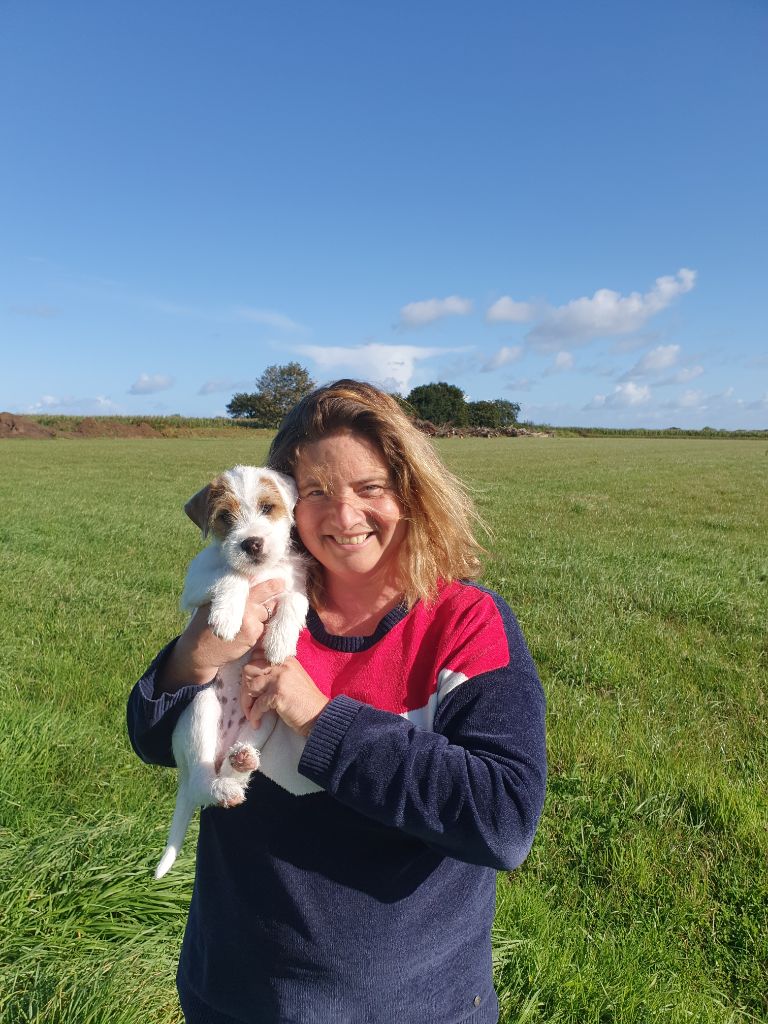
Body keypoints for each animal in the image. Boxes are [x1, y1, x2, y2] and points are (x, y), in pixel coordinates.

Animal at [154, 468, 309, 876]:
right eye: (225, 516)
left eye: (268, 508)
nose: (252, 543)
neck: (261, 572)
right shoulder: (196, 582)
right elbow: (229, 574)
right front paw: (226, 618)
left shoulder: (294, 582)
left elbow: (294, 598)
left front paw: (279, 641)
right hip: (201, 709)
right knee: (201, 782)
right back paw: (219, 786)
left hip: (266, 720)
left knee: (228, 769)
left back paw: (241, 763)